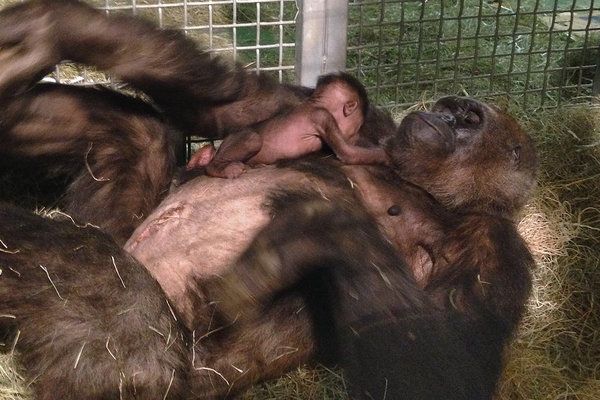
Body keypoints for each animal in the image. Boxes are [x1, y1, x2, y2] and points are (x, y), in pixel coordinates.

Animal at [189, 72, 394, 178]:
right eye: (357, 124)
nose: (353, 133)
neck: (315, 103)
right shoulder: (323, 117)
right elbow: (347, 153)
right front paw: (388, 155)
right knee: (252, 138)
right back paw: (221, 167)